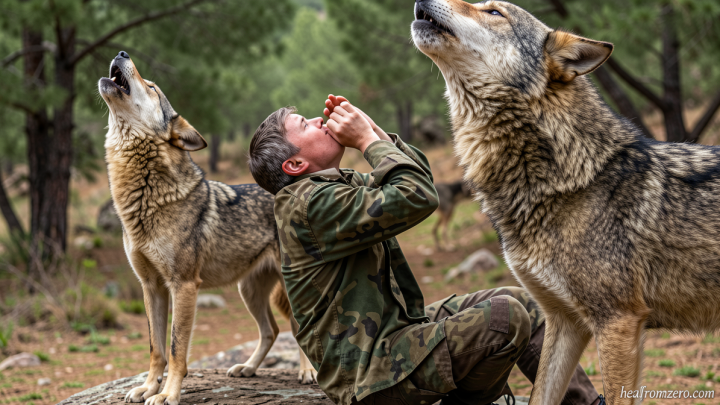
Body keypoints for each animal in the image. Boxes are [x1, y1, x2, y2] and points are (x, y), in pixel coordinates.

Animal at [98, 51, 316, 405]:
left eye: (152, 86)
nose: (121, 53)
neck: (144, 197)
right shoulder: (151, 287)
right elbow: (155, 348)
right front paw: (148, 387)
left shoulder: (184, 286)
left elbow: (176, 349)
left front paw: (167, 394)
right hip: (248, 291)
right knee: (270, 330)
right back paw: (247, 368)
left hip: (287, 288)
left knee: (297, 329)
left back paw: (308, 371)